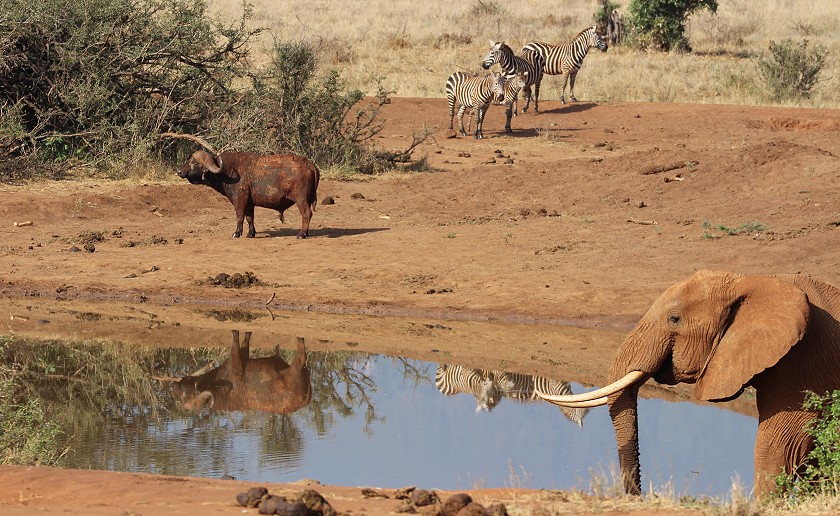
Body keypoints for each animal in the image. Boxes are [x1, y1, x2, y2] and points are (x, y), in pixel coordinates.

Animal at [171, 332, 312, 414]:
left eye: (185, 396)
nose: (172, 385)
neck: (218, 386)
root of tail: (304, 401)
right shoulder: (242, 354)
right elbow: (245, 340)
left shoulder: (235, 359)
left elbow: (235, 340)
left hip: (295, 368)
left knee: (302, 355)